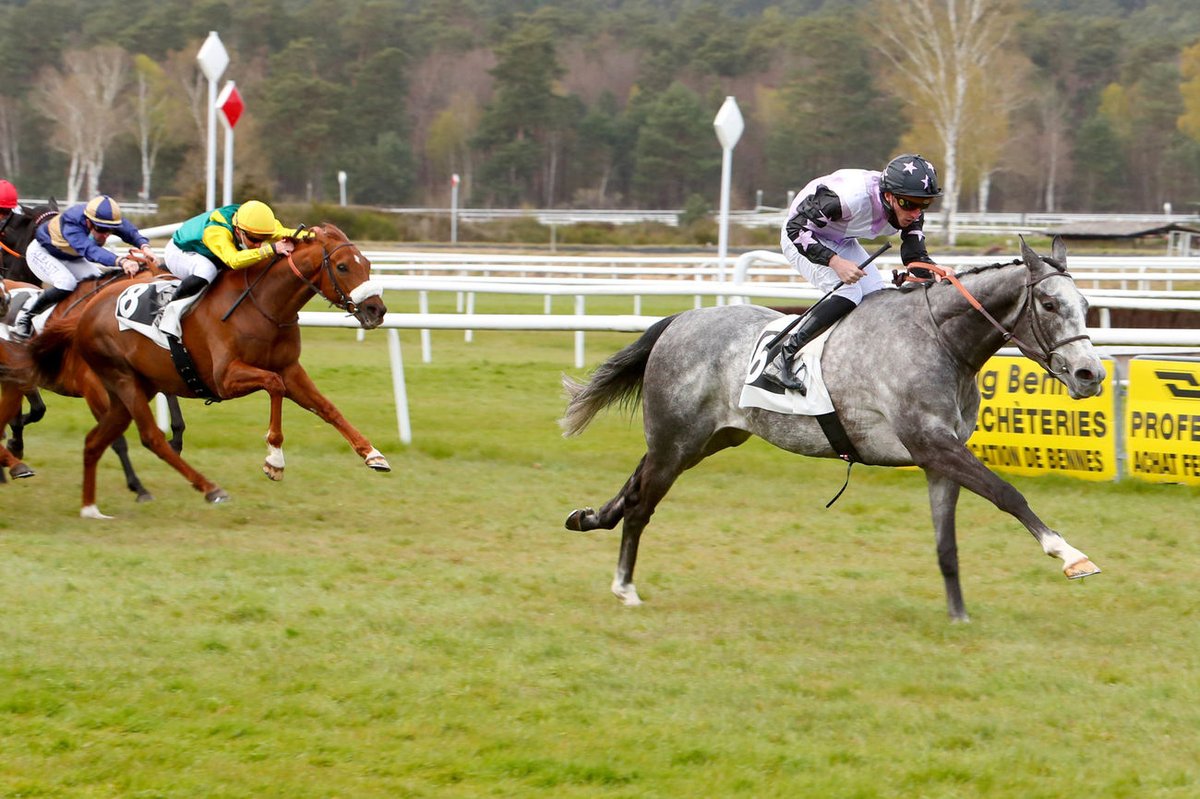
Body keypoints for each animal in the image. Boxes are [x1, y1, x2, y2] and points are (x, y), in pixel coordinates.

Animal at [31, 221, 388, 515]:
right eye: (342, 266)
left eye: (368, 264)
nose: (377, 310)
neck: (262, 305)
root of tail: (84, 313)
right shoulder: (224, 378)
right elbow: (274, 385)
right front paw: (274, 460)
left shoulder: (290, 368)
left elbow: (327, 408)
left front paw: (372, 454)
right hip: (123, 380)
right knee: (151, 438)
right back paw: (209, 488)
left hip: (131, 389)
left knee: (95, 441)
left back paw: (90, 507)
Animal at [561, 233, 1104, 619]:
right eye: (1050, 305)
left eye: (1085, 307)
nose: (1091, 375)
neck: (940, 341)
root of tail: (678, 321)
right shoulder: (930, 443)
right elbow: (1007, 493)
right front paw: (1069, 554)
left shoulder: (940, 457)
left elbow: (946, 542)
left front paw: (958, 614)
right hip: (678, 438)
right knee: (642, 504)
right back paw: (625, 587)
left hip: (707, 438)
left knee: (635, 485)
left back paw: (588, 518)